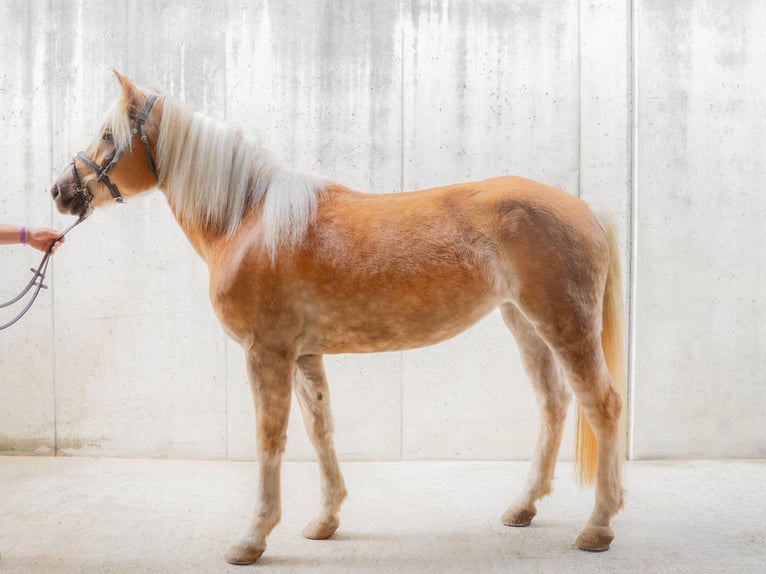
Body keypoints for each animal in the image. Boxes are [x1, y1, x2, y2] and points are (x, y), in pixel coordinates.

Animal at [51, 73, 632, 568]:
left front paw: (252, 538)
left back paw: (598, 528)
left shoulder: (266, 352)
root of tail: (586, 208)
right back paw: (523, 508)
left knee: (601, 406)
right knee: (553, 404)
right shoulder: (304, 354)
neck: (249, 220)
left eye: (108, 134)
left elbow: (270, 437)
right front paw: (325, 520)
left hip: (565, 325)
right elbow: (319, 427)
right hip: (523, 324)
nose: (59, 191)